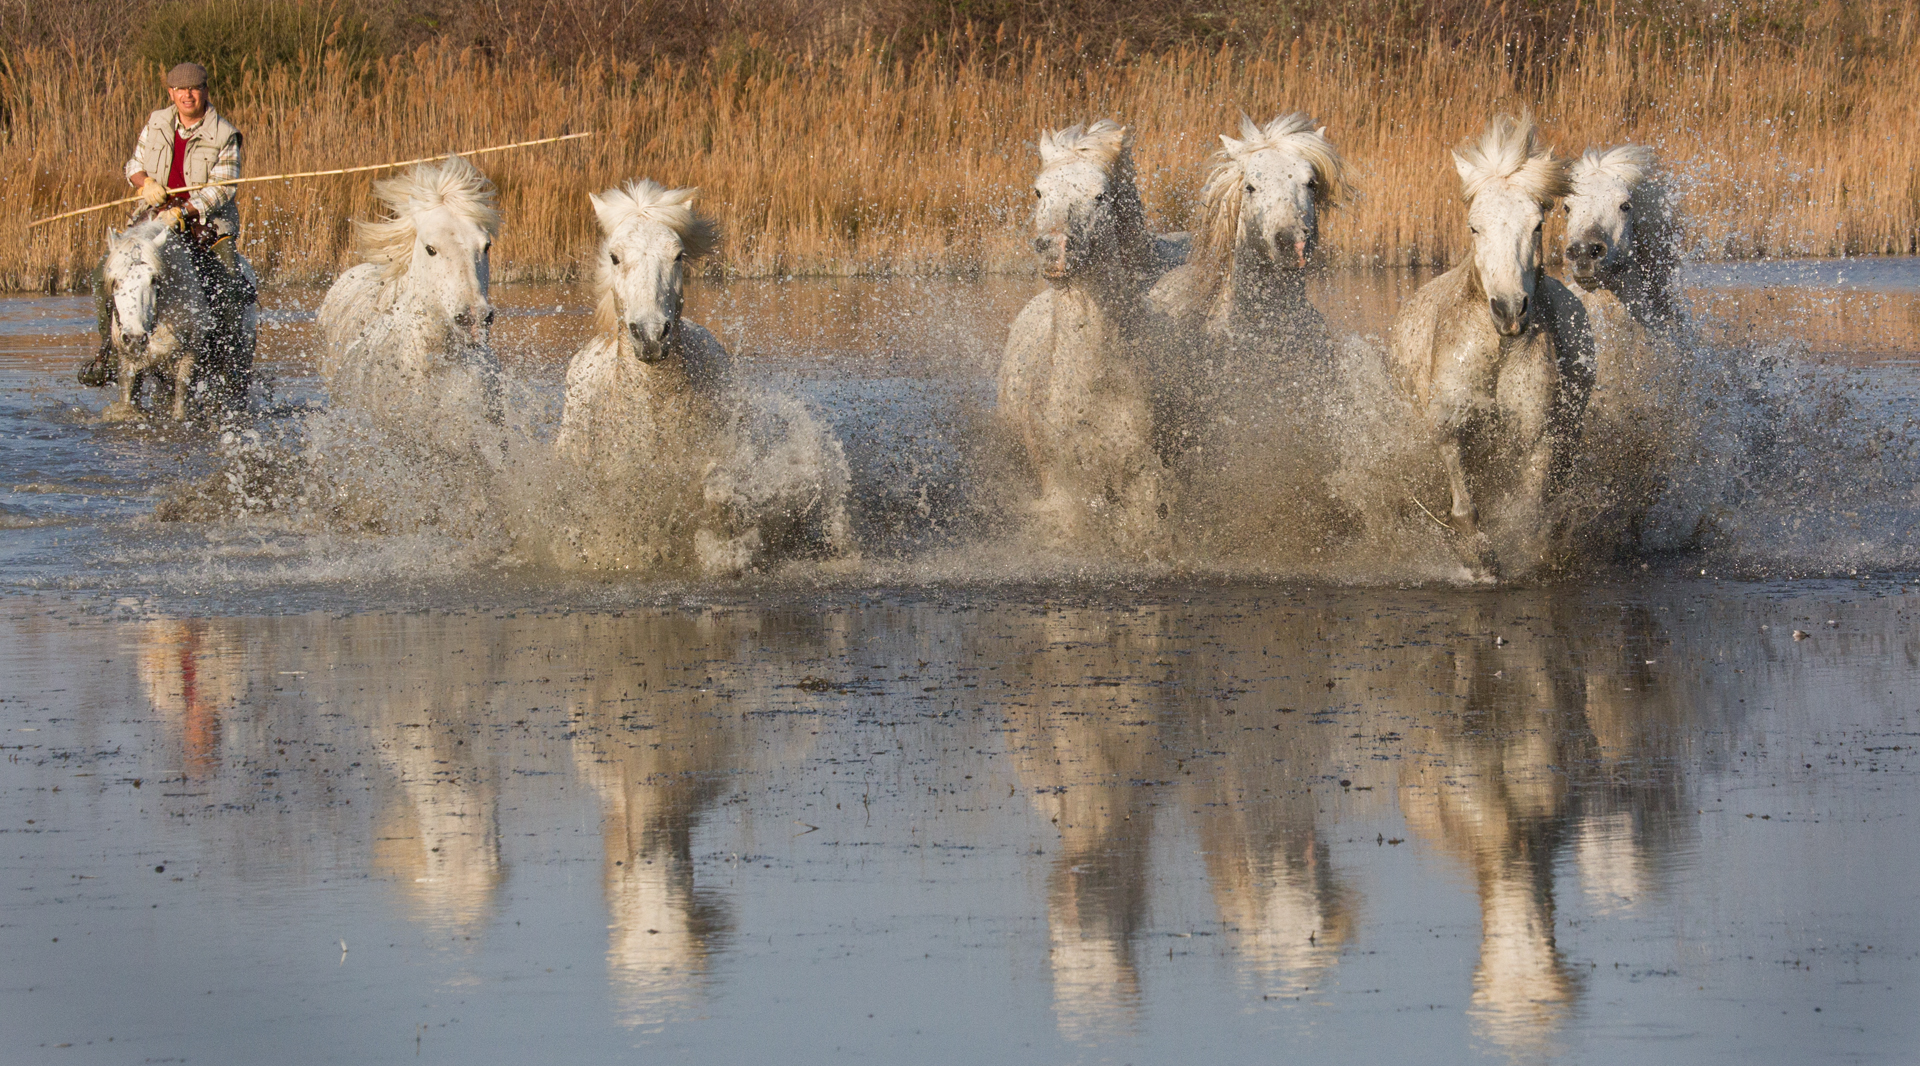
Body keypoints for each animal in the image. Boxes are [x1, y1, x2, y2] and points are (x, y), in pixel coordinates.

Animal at [99, 217, 207, 422]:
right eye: (115, 282)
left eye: (154, 279)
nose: (134, 338)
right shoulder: (127, 359)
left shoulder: (190, 356)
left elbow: (181, 400)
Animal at [554, 179, 852, 575]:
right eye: (615, 257)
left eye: (678, 255)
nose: (651, 334)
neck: (655, 415)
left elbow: (719, 493)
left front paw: (726, 549)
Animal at [997, 120, 1177, 558]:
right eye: (1038, 191)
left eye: (1101, 195)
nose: (1055, 250)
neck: (1096, 386)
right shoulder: (1063, 490)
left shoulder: (1145, 481)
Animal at [1388, 113, 1584, 581]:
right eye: (1474, 226)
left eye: (1537, 224)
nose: (1510, 310)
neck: (1496, 353)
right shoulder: (1450, 429)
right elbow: (1464, 510)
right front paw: (1480, 560)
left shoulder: (1537, 436)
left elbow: (1528, 511)